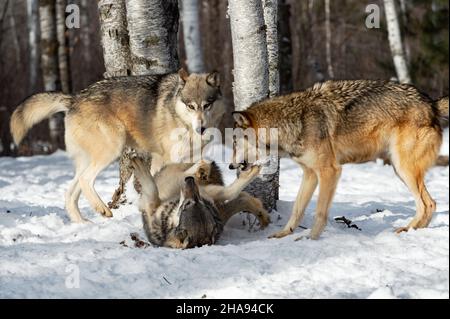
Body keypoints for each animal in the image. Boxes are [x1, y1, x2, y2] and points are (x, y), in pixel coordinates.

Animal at [11, 69, 225, 225]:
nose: (201, 128)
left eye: (207, 105)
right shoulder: (165, 159)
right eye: (191, 106)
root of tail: (74, 98)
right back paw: (102, 209)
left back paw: (83, 223)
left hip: (87, 161)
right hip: (113, 148)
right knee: (86, 180)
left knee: (71, 192)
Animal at [132, 159, 268, 249]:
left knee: (233, 192)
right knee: (237, 194)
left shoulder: (150, 203)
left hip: (208, 190)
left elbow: (152, 187)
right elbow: (152, 187)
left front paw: (140, 167)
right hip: (209, 191)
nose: (189, 181)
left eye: (195, 201)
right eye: (186, 204)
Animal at [230, 80, 448, 240]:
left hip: (403, 168)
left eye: (234, 142)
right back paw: (414, 230)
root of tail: (431, 103)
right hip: (398, 168)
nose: (231, 165)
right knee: (430, 204)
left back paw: (407, 230)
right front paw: (283, 234)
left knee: (427, 204)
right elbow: (297, 209)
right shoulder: (310, 174)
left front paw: (310, 238)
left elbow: (320, 212)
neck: (293, 123)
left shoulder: (330, 171)